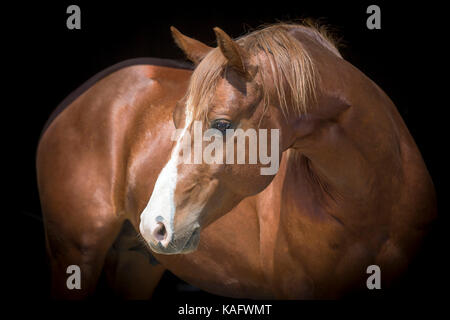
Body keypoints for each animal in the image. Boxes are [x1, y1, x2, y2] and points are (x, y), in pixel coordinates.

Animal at [37, 23, 438, 300]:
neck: (374, 200)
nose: (154, 224)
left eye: (222, 124)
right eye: (176, 118)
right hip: (76, 257)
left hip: (136, 262)